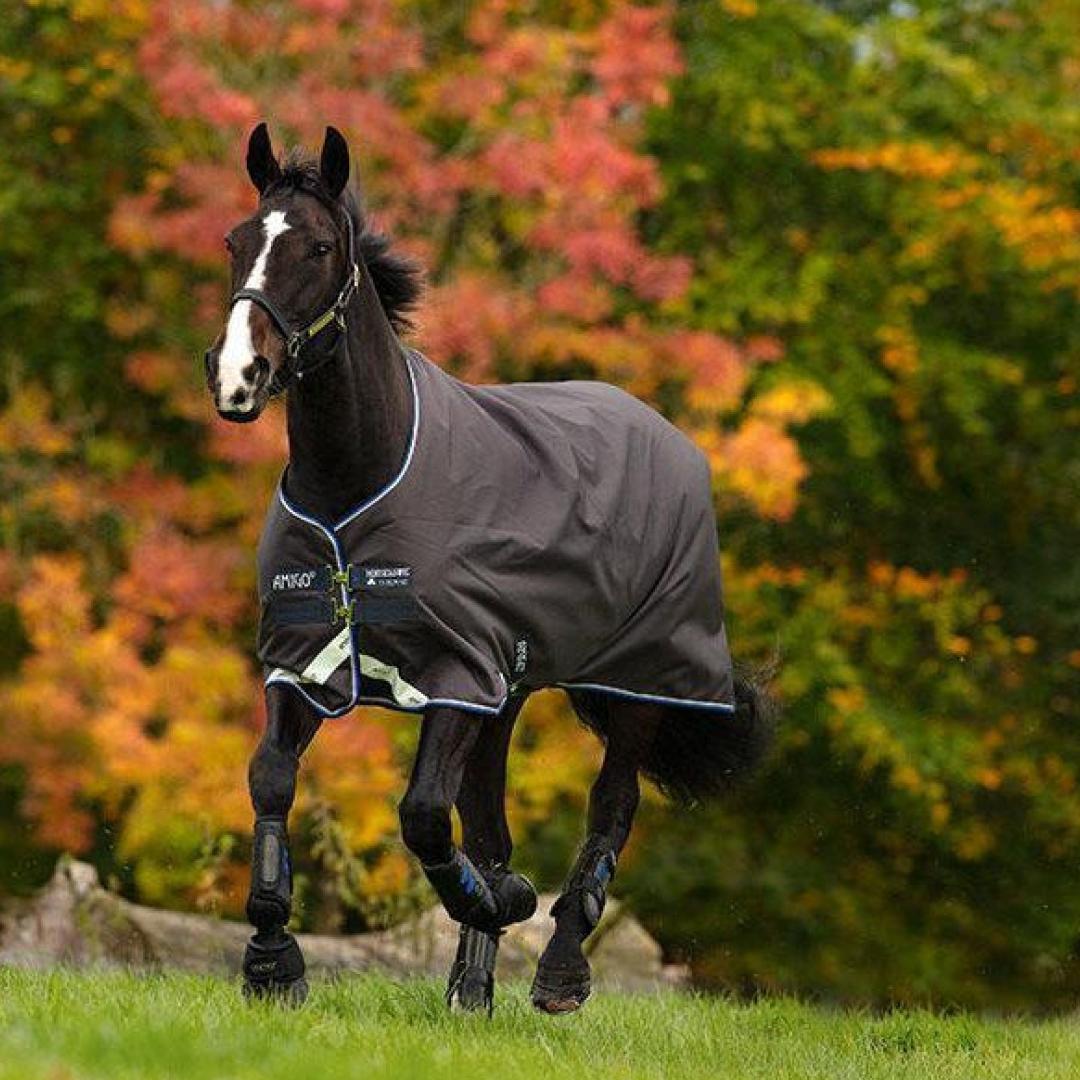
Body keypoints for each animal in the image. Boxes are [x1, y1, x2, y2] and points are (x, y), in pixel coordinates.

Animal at [203, 123, 775, 1014]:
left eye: (320, 247)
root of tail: (668, 434)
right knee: (491, 821)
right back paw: (472, 984)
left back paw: (560, 969)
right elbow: (272, 782)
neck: (359, 481)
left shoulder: (454, 675)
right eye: (235, 241)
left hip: (635, 684)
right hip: (507, 694)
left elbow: (423, 815)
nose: (238, 376)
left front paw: (504, 901)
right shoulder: (306, 664)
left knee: (611, 808)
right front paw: (272, 962)